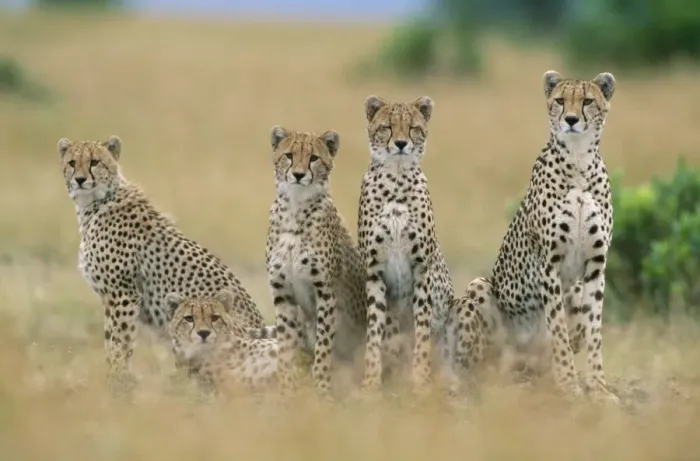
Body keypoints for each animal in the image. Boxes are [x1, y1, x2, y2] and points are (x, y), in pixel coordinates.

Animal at [57, 135, 274, 389]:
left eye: (94, 162)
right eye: (72, 162)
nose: (80, 179)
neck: (96, 202)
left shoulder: (123, 295)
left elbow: (120, 342)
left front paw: (116, 379)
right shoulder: (112, 297)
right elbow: (112, 341)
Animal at [265, 126, 367, 396]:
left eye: (313, 158)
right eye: (289, 155)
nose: (299, 175)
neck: (295, 208)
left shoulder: (325, 293)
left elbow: (324, 346)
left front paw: (321, 386)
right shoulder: (282, 292)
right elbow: (286, 345)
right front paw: (287, 388)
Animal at [357, 95, 478, 395]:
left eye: (413, 127)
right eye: (387, 127)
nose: (401, 144)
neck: (396, 181)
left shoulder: (422, 270)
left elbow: (422, 329)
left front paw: (420, 380)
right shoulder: (374, 272)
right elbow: (375, 333)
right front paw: (371, 381)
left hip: (464, 306)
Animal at [460, 70, 620, 403]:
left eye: (587, 101)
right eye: (560, 100)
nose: (571, 119)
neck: (579, 162)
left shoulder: (596, 265)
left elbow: (593, 331)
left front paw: (598, 388)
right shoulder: (550, 263)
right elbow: (557, 327)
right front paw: (570, 384)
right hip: (479, 288)